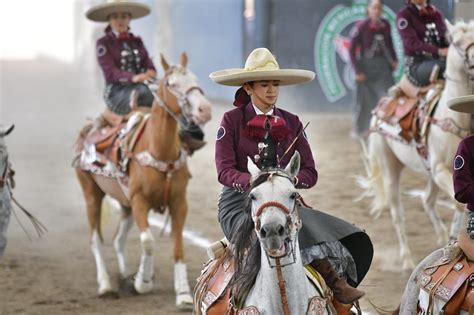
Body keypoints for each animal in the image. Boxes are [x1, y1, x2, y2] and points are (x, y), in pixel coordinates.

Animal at [75, 53, 211, 308]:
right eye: (172, 84)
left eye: (195, 79)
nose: (205, 109)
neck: (158, 149)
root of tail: (88, 129)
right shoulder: (139, 201)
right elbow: (148, 241)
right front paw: (143, 281)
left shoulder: (179, 203)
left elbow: (178, 247)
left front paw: (183, 294)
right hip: (92, 194)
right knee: (95, 240)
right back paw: (106, 285)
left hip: (125, 204)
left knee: (118, 240)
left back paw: (124, 276)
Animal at [360, 21, 474, 270]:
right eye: (457, 43)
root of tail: (379, 110)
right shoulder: (442, 169)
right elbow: (458, 203)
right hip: (391, 167)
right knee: (397, 214)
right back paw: (406, 259)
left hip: (428, 172)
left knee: (427, 200)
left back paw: (441, 238)